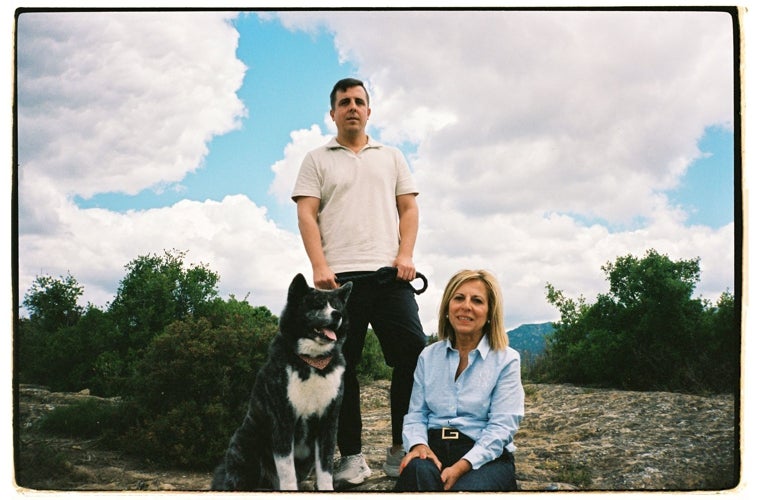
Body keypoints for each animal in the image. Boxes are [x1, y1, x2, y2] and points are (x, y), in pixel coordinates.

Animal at [211, 274, 354, 488]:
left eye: (336, 306)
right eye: (317, 305)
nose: (337, 314)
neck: (312, 362)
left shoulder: (328, 423)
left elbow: (325, 469)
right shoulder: (283, 421)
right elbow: (287, 473)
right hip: (247, 446)